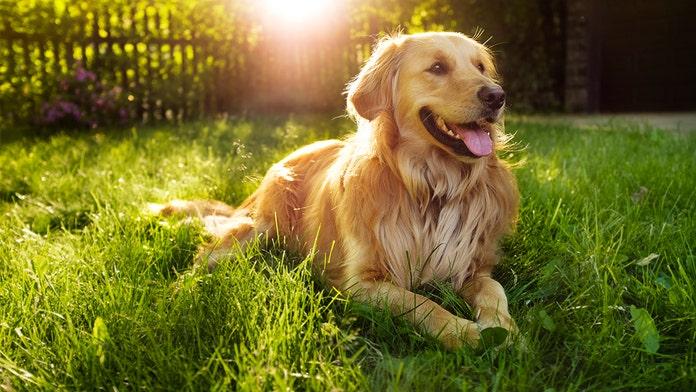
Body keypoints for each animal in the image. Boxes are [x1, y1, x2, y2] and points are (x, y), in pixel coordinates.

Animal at [154, 31, 520, 350]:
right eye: (438, 68)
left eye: (480, 67)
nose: (497, 96)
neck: (432, 187)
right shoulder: (361, 282)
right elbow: (420, 303)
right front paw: (464, 333)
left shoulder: (471, 265)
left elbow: (493, 288)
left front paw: (502, 328)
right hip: (257, 229)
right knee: (201, 260)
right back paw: (178, 296)